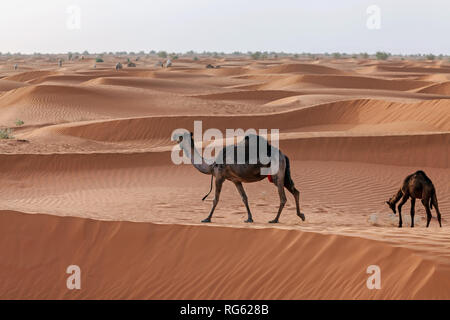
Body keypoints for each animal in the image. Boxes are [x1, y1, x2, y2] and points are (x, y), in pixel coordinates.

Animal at [173, 131, 306, 224]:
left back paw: (275, 219)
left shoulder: (219, 176)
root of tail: (283, 155)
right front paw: (249, 218)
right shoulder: (236, 180)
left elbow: (216, 199)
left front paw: (207, 218)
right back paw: (301, 215)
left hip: (276, 175)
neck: (211, 165)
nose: (174, 139)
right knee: (296, 191)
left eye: (180, 137)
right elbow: (244, 198)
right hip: (284, 174)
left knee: (283, 197)